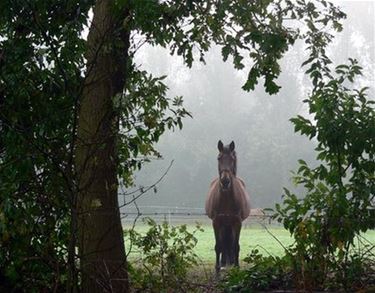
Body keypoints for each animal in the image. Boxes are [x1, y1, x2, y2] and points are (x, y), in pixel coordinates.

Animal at [204, 139, 251, 272]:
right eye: (219, 158)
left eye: (232, 159)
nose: (225, 181)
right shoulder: (216, 222)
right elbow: (218, 246)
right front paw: (217, 267)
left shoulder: (237, 222)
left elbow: (235, 246)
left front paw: (236, 266)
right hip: (224, 224)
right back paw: (224, 262)